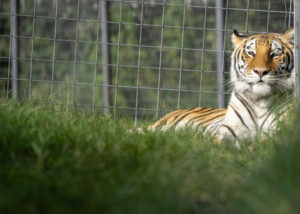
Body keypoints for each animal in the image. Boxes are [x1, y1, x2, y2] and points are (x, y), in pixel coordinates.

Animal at [149, 27, 294, 143]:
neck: (260, 101)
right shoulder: (228, 131)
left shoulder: (279, 133)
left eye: (275, 54)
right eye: (251, 53)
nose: (260, 71)